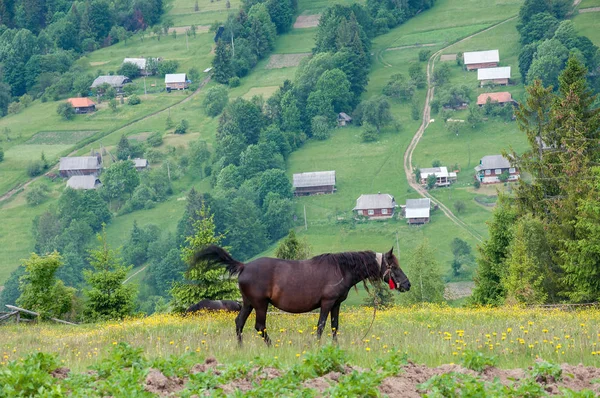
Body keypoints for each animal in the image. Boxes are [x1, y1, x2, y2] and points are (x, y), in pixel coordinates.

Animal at [195, 246, 410, 346]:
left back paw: (240, 348)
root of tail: (244, 266)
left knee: (239, 323)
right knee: (259, 326)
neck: (341, 269)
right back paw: (272, 346)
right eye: (394, 266)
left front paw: (335, 346)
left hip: (248, 304)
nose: (407, 284)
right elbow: (321, 326)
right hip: (260, 305)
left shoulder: (336, 305)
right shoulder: (326, 303)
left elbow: (334, 326)